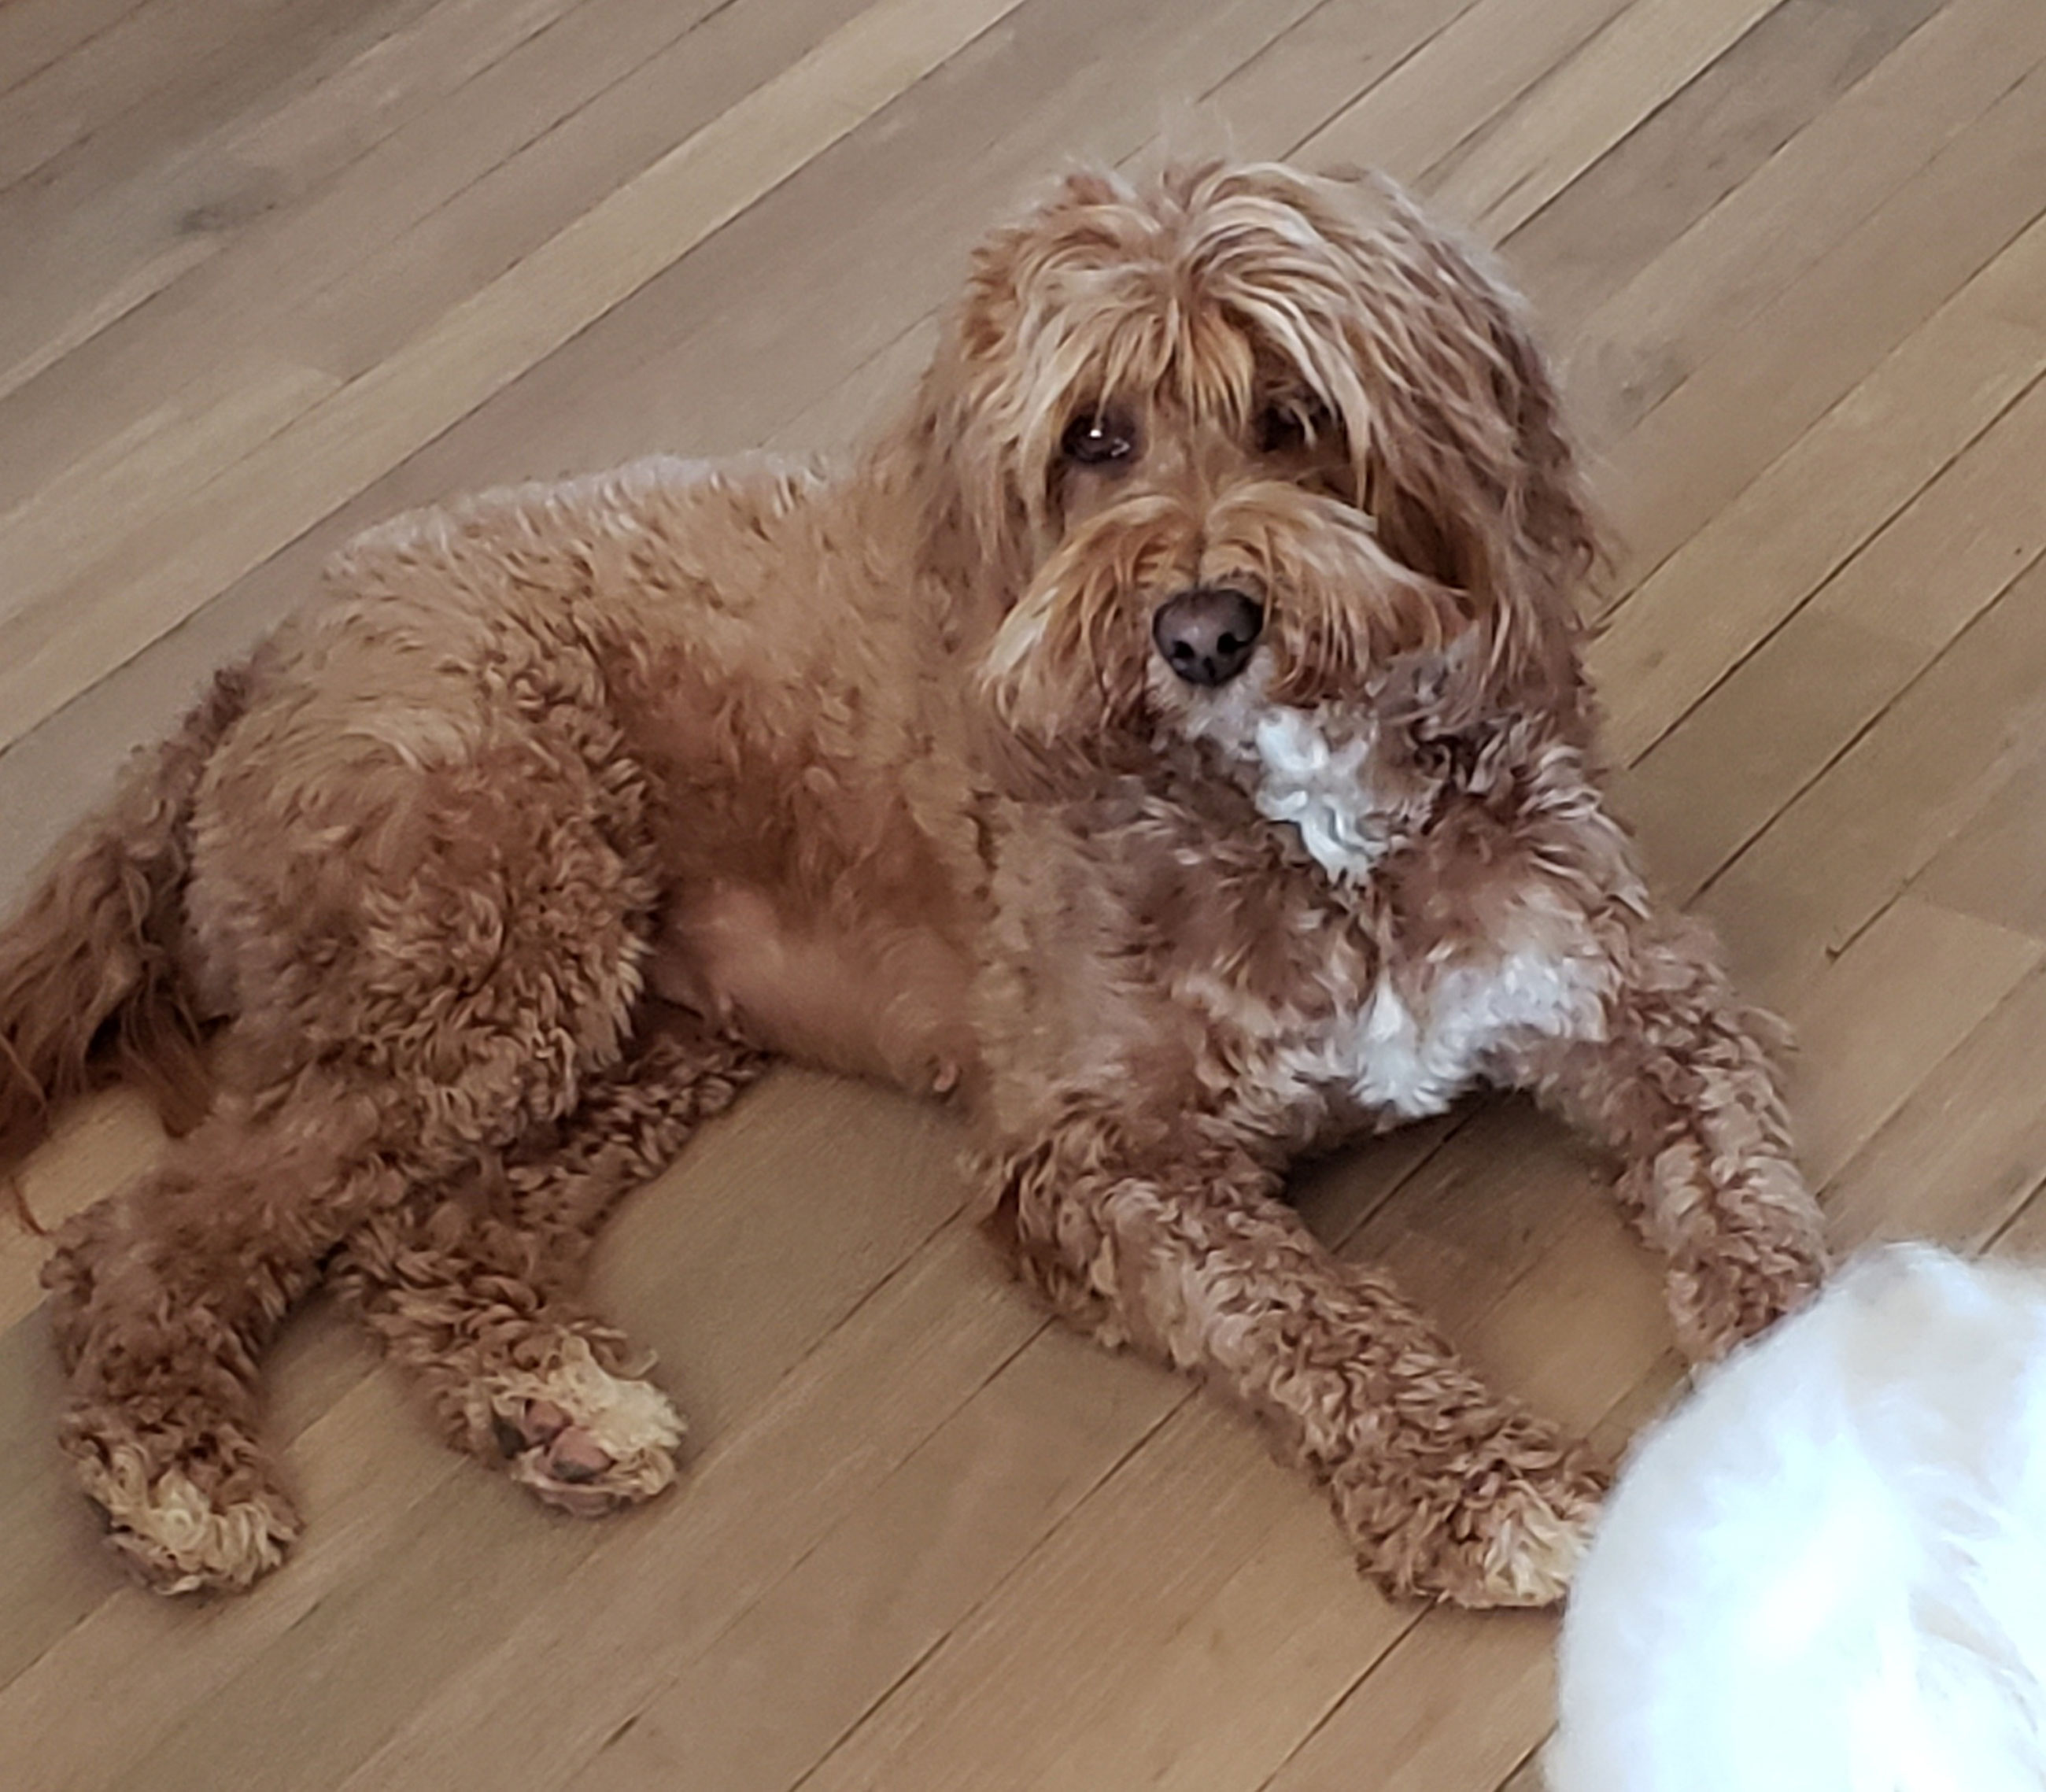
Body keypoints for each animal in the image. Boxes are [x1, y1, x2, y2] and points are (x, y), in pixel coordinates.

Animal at [0, 161, 1825, 1603]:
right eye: (1095, 436)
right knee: (146, 1233)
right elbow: (1304, 1311)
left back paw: (552, 1399)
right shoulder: (1095, 1154)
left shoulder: (1633, 993)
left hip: (628, 1022)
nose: (1201, 627)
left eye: (1295, 415)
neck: (1298, 813)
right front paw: (1486, 1487)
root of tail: (260, 654)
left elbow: (1750, 1204)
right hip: (494, 942)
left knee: (423, 1226)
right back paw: (178, 1466)